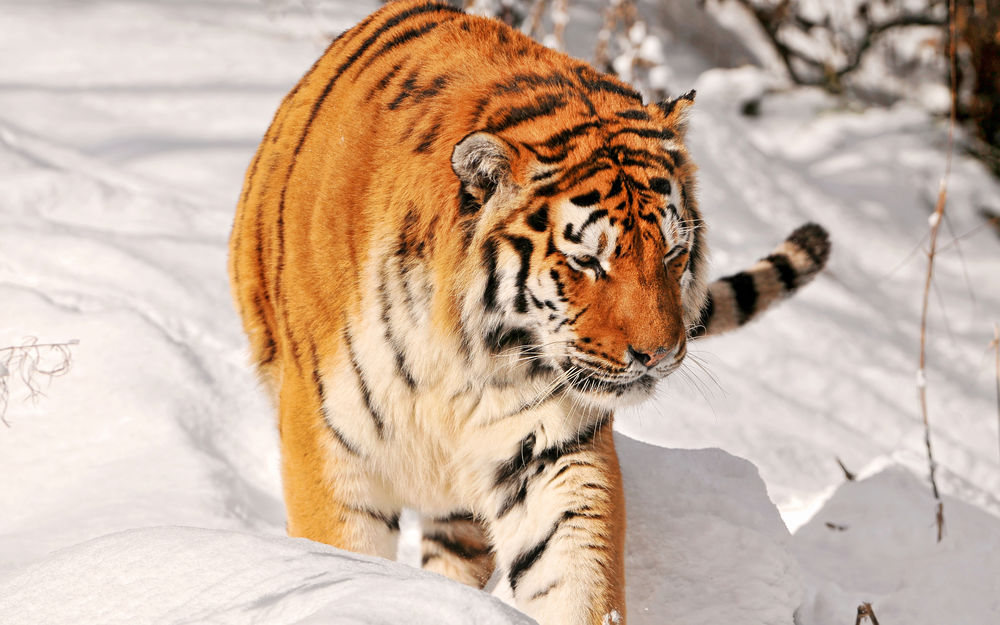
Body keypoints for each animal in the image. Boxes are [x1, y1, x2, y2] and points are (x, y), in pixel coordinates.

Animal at [227, 1, 830, 623]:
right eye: (587, 260)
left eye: (673, 253)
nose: (660, 355)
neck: (456, 354)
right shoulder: (329, 449)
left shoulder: (549, 449)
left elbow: (574, 572)